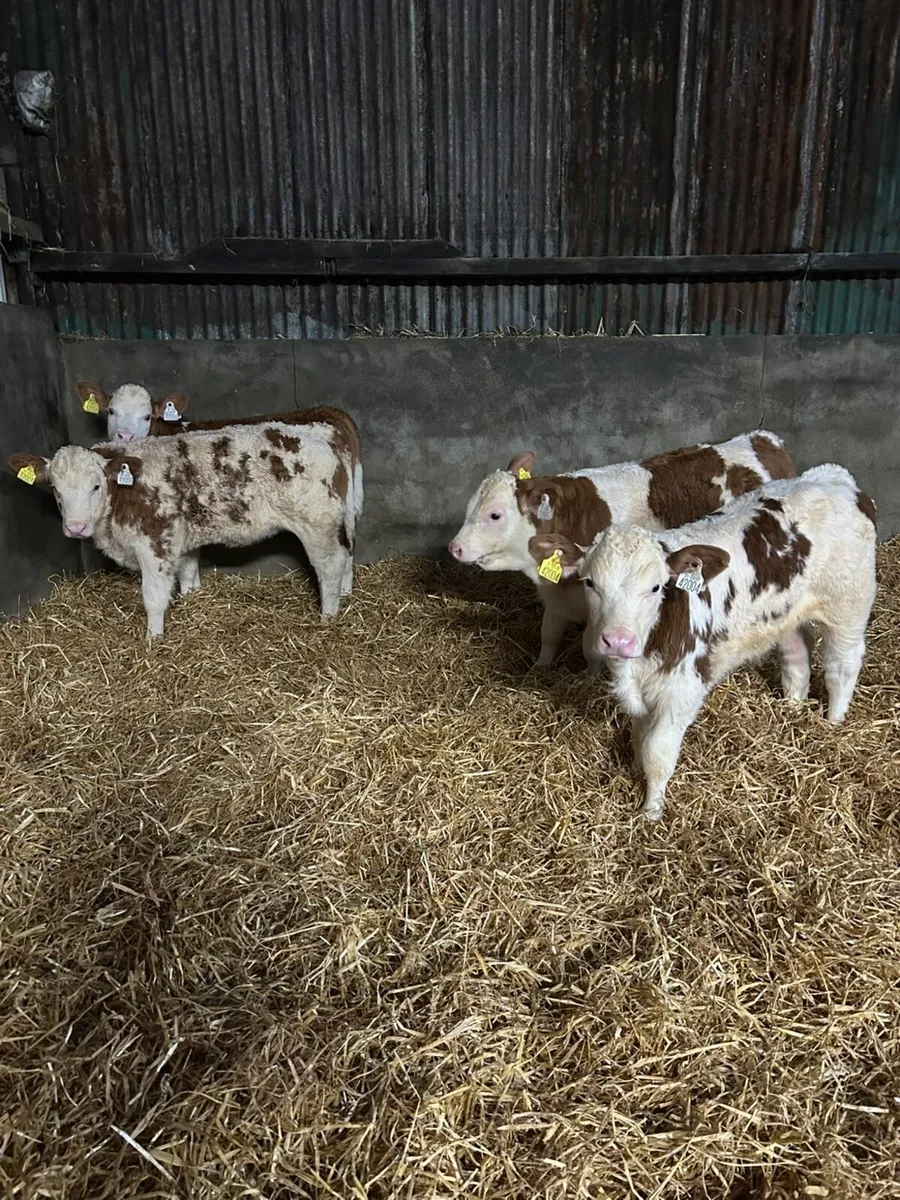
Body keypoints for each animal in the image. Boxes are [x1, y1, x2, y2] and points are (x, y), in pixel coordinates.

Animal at [10, 418, 361, 638]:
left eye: (96, 486)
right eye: (55, 489)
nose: (76, 527)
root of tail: (320, 434)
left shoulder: (155, 543)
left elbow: (153, 596)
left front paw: (153, 639)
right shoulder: (182, 538)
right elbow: (189, 575)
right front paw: (193, 600)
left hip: (316, 524)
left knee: (330, 566)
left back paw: (327, 616)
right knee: (345, 556)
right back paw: (345, 596)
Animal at [448, 431, 795, 670]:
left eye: (495, 514)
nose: (454, 548)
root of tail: (763, 438)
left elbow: (590, 648)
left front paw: (590, 678)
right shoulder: (557, 596)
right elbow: (549, 636)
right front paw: (539, 669)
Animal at [528, 464, 877, 821]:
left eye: (655, 587)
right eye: (590, 583)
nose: (617, 640)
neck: (643, 657)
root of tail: (834, 478)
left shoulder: (682, 690)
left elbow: (657, 752)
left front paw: (651, 811)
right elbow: (640, 735)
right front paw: (636, 771)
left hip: (849, 604)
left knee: (842, 666)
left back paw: (834, 722)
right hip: (785, 613)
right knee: (797, 658)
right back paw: (792, 708)